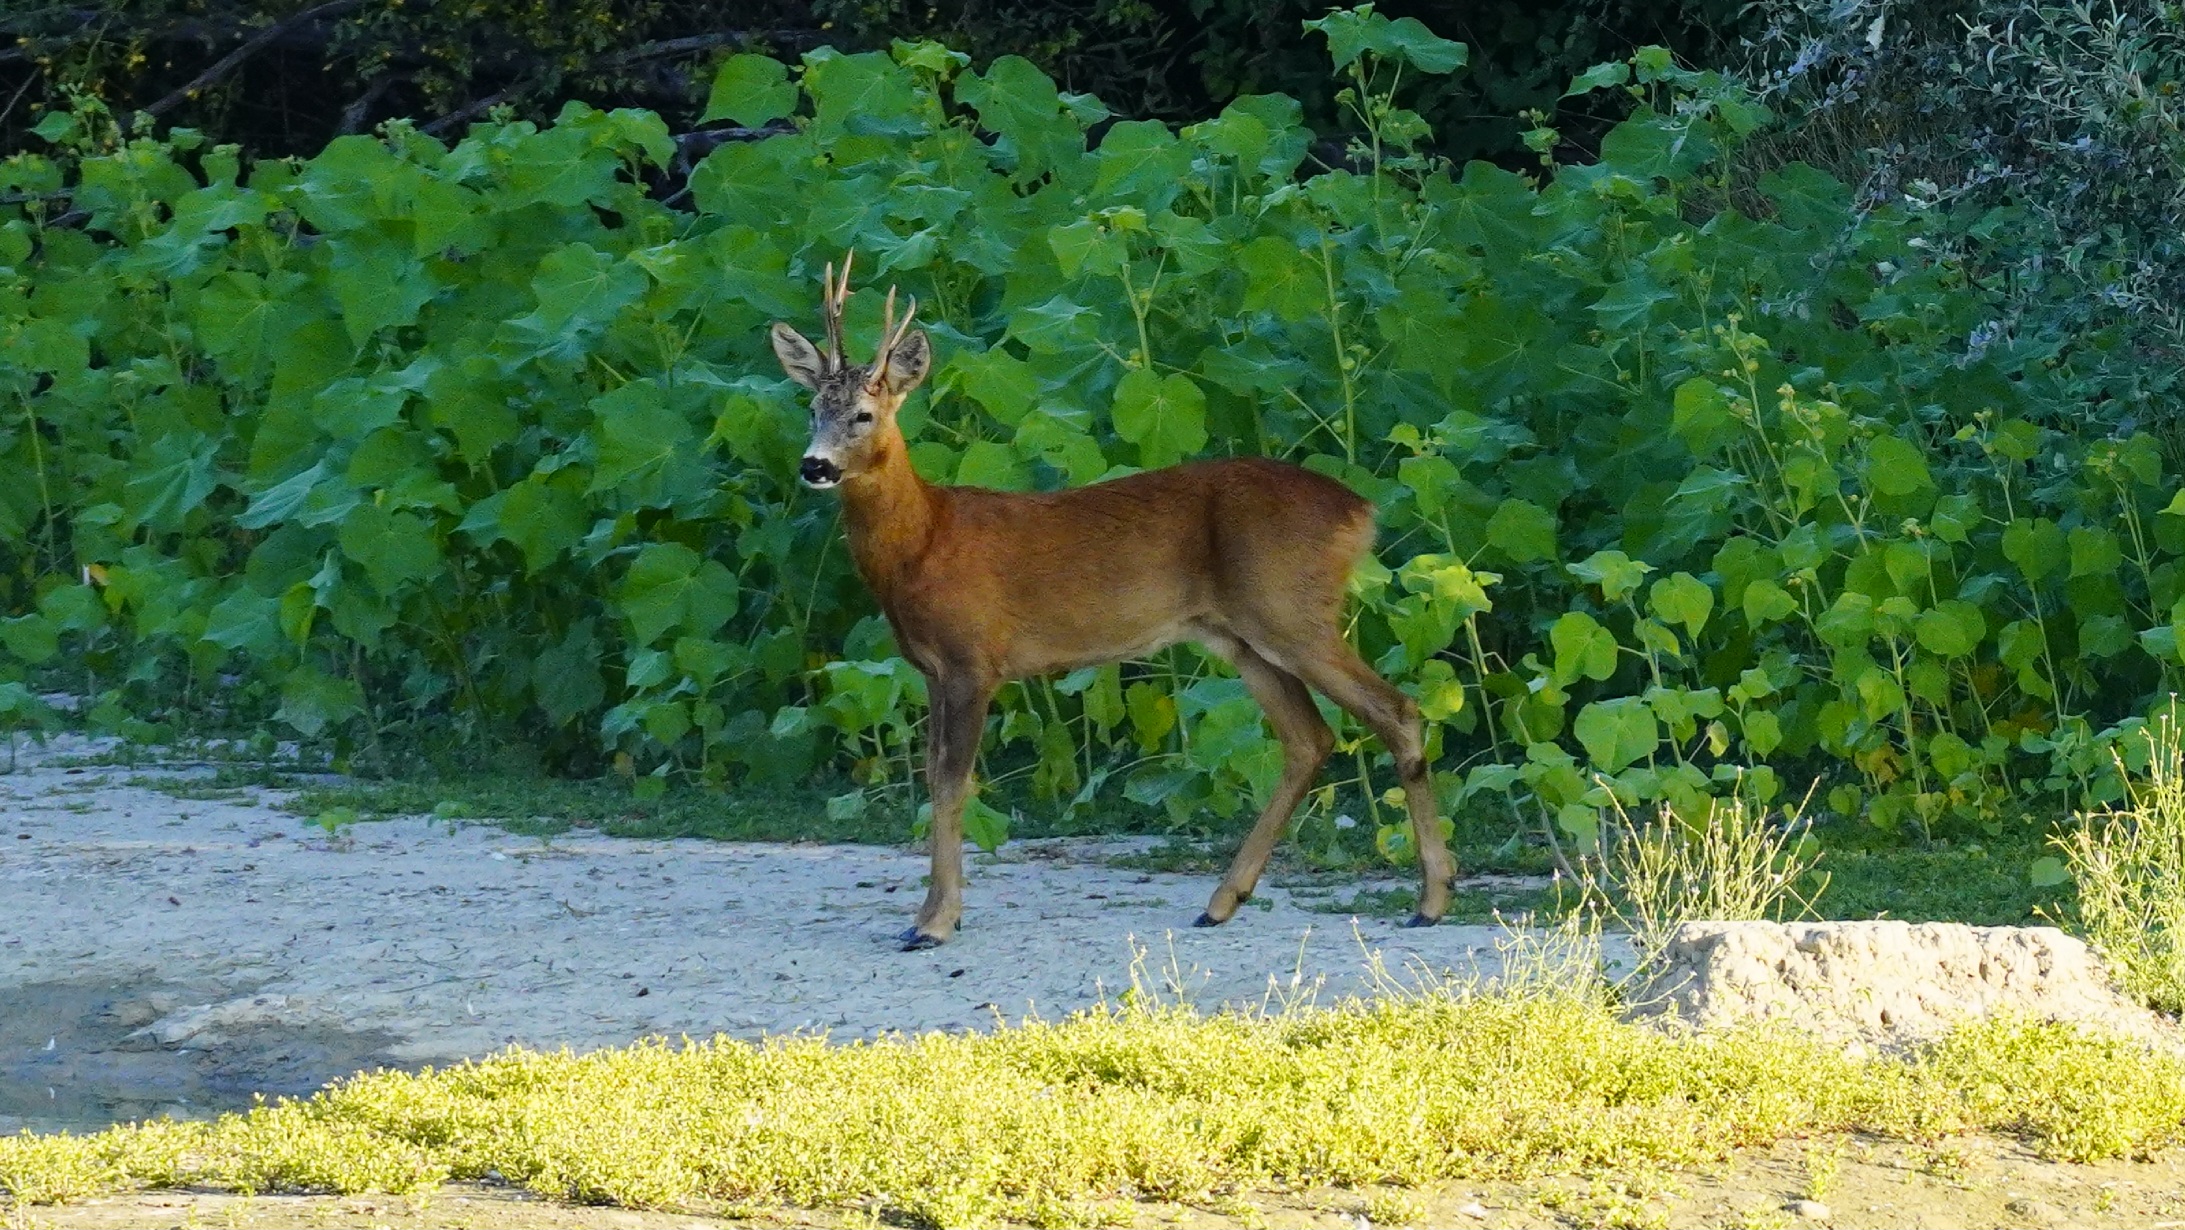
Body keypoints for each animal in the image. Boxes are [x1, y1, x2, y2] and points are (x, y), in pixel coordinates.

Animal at [768, 253, 1456, 950]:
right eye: (812, 408)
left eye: (864, 414)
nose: (815, 466)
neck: (924, 542)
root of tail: (1361, 511)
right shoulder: (933, 669)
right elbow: (936, 777)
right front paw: (936, 914)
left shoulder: (972, 659)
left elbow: (951, 781)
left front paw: (934, 922)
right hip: (1242, 636)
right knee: (1309, 739)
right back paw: (1222, 901)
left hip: (1292, 611)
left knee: (1396, 711)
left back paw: (1430, 900)